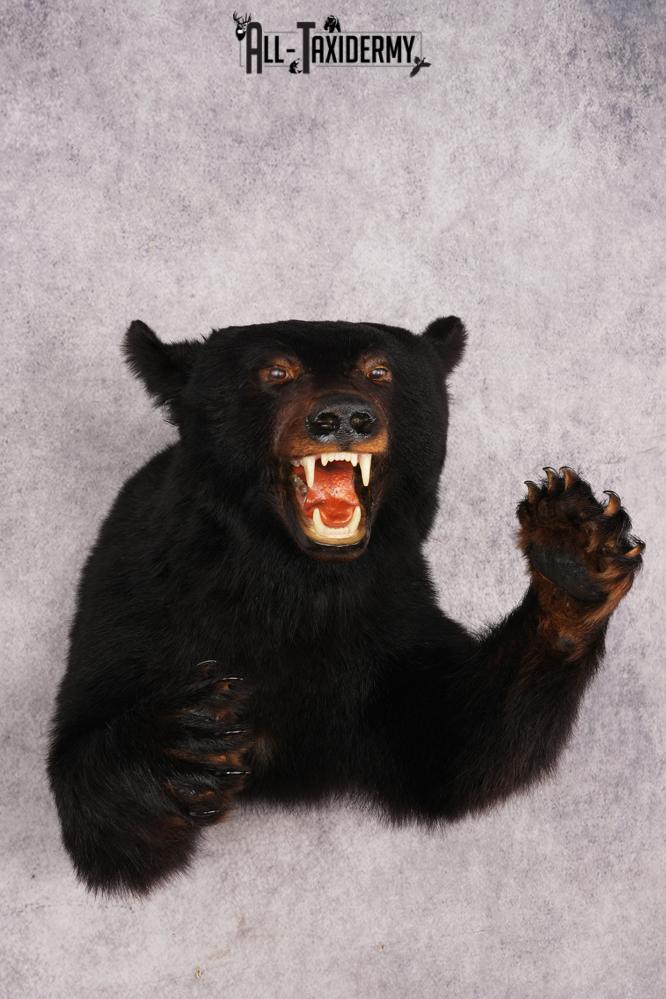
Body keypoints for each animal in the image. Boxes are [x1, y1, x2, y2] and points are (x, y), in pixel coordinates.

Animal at [47, 316, 645, 896]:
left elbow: (454, 744)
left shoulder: (389, 619)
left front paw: (571, 547)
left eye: (379, 371)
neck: (301, 585)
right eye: (275, 372)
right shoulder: (143, 596)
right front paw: (184, 745)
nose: (342, 417)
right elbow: (89, 780)